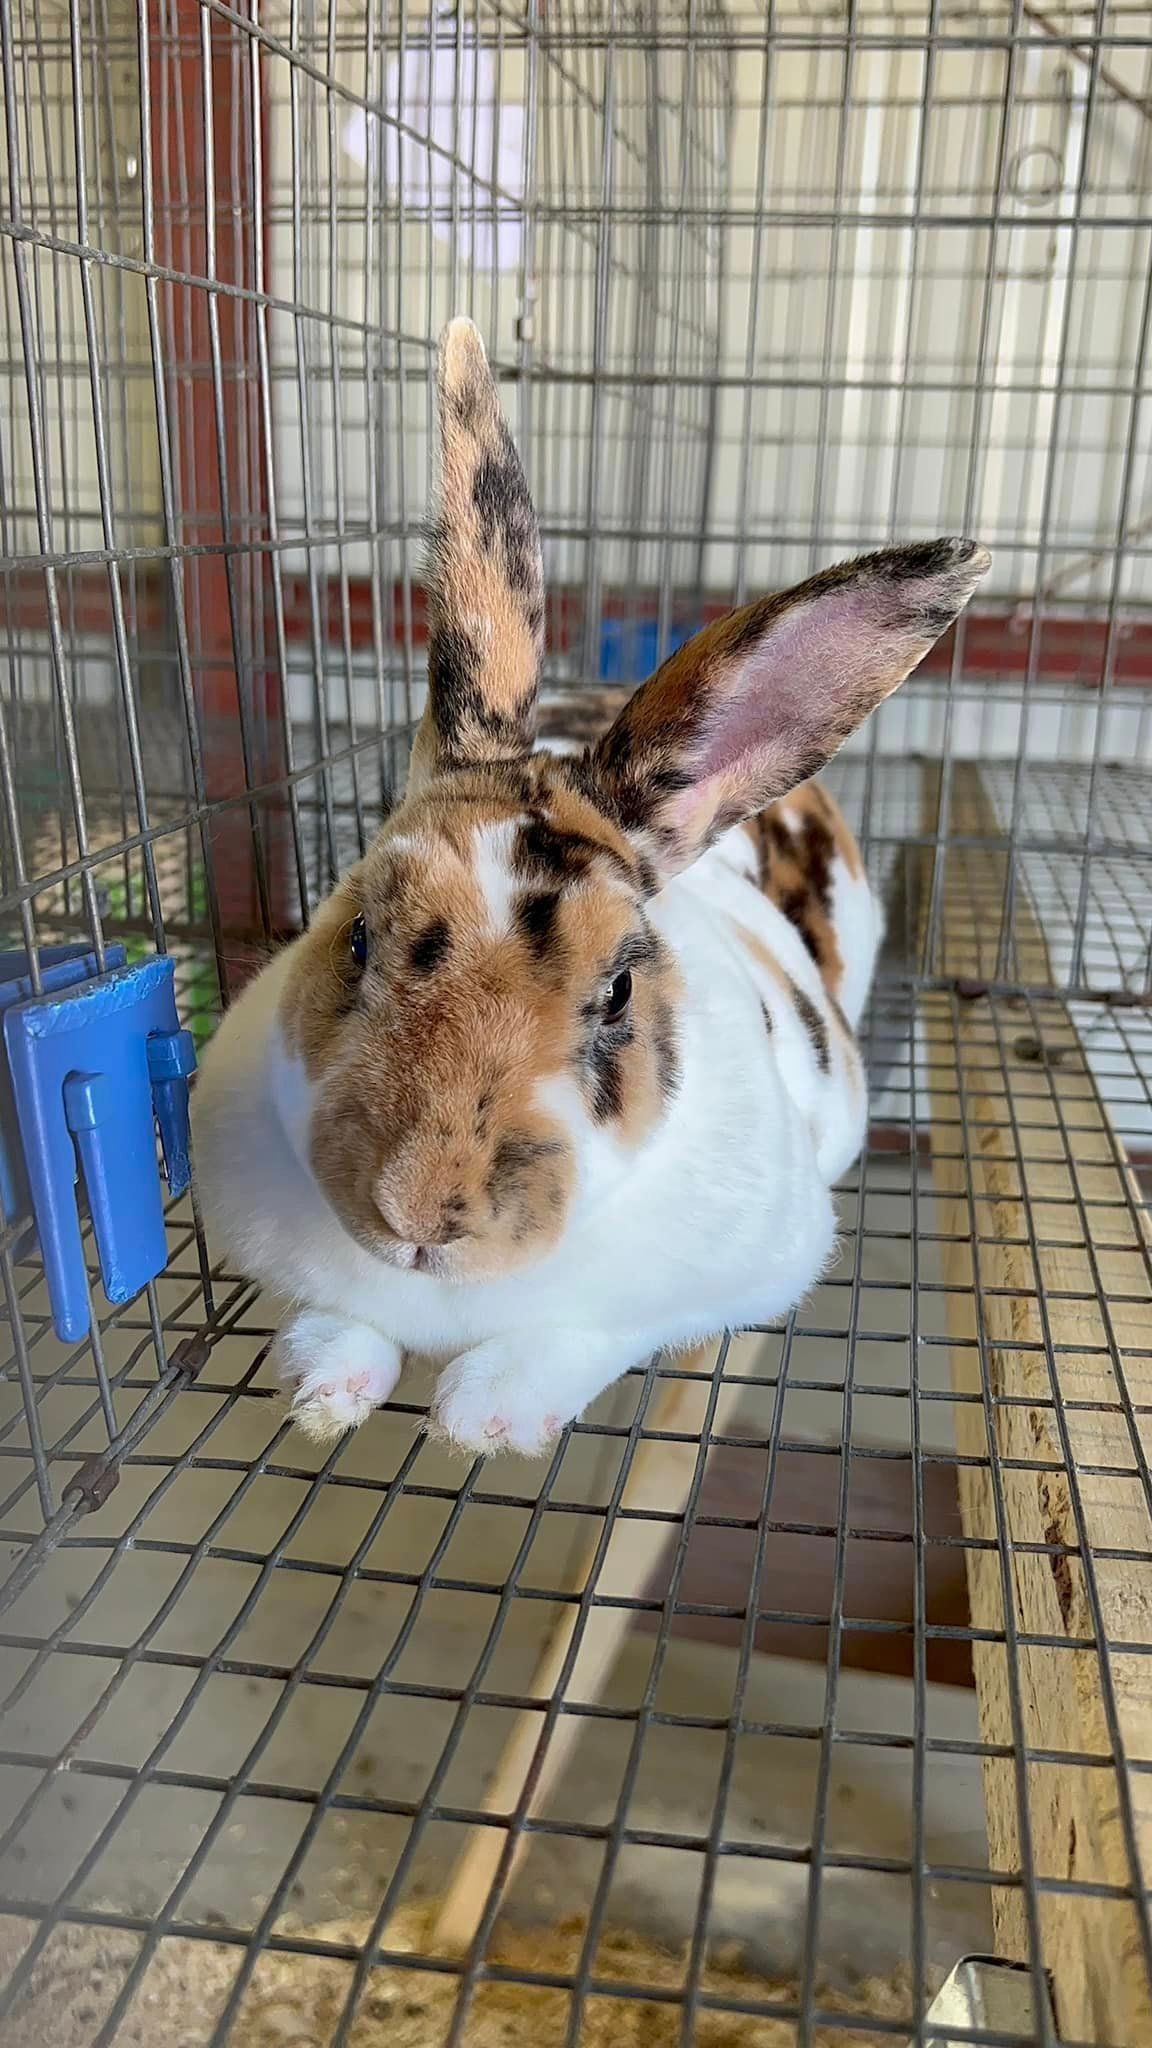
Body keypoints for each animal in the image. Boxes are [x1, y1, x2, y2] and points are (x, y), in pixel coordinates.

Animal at [191, 317, 990, 1456]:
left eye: (617, 992)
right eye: (356, 937)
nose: (425, 1212)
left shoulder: (725, 1276)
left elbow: (590, 1331)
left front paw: (483, 1414)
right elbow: (327, 1317)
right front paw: (323, 1390)